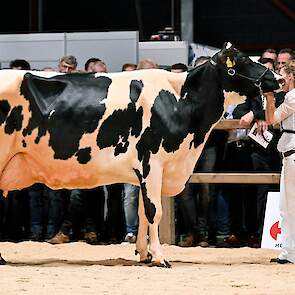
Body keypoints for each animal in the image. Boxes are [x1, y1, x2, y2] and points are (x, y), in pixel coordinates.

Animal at [0, 42, 280, 268]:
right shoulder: (152, 163)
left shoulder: (150, 171)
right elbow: (155, 210)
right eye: (243, 60)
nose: (277, 77)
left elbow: (144, 212)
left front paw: (144, 254)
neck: (180, 99)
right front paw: (159, 257)